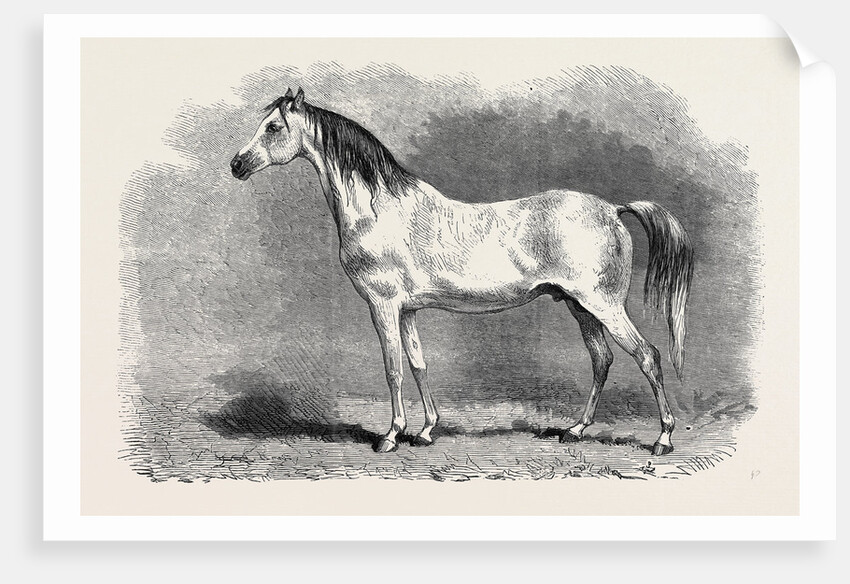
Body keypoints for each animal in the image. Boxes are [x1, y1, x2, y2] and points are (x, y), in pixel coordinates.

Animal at [230, 87, 694, 456]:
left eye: (273, 127)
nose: (236, 164)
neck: (378, 209)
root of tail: (613, 209)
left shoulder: (383, 305)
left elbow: (393, 368)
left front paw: (391, 436)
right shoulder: (408, 310)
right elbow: (418, 364)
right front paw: (425, 431)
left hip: (603, 305)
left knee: (647, 356)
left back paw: (663, 439)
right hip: (580, 306)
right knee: (602, 360)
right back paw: (576, 430)